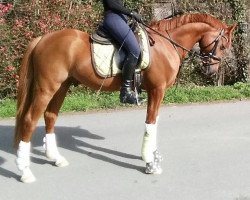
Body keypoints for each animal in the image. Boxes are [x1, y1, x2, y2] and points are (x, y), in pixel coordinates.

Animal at [14, 13, 236, 183]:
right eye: (223, 46)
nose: (211, 71)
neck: (166, 43)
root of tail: (43, 39)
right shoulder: (157, 90)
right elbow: (151, 123)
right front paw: (149, 162)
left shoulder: (157, 92)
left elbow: (154, 123)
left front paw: (153, 155)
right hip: (46, 88)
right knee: (29, 120)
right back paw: (25, 172)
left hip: (61, 87)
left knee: (50, 116)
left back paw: (55, 158)